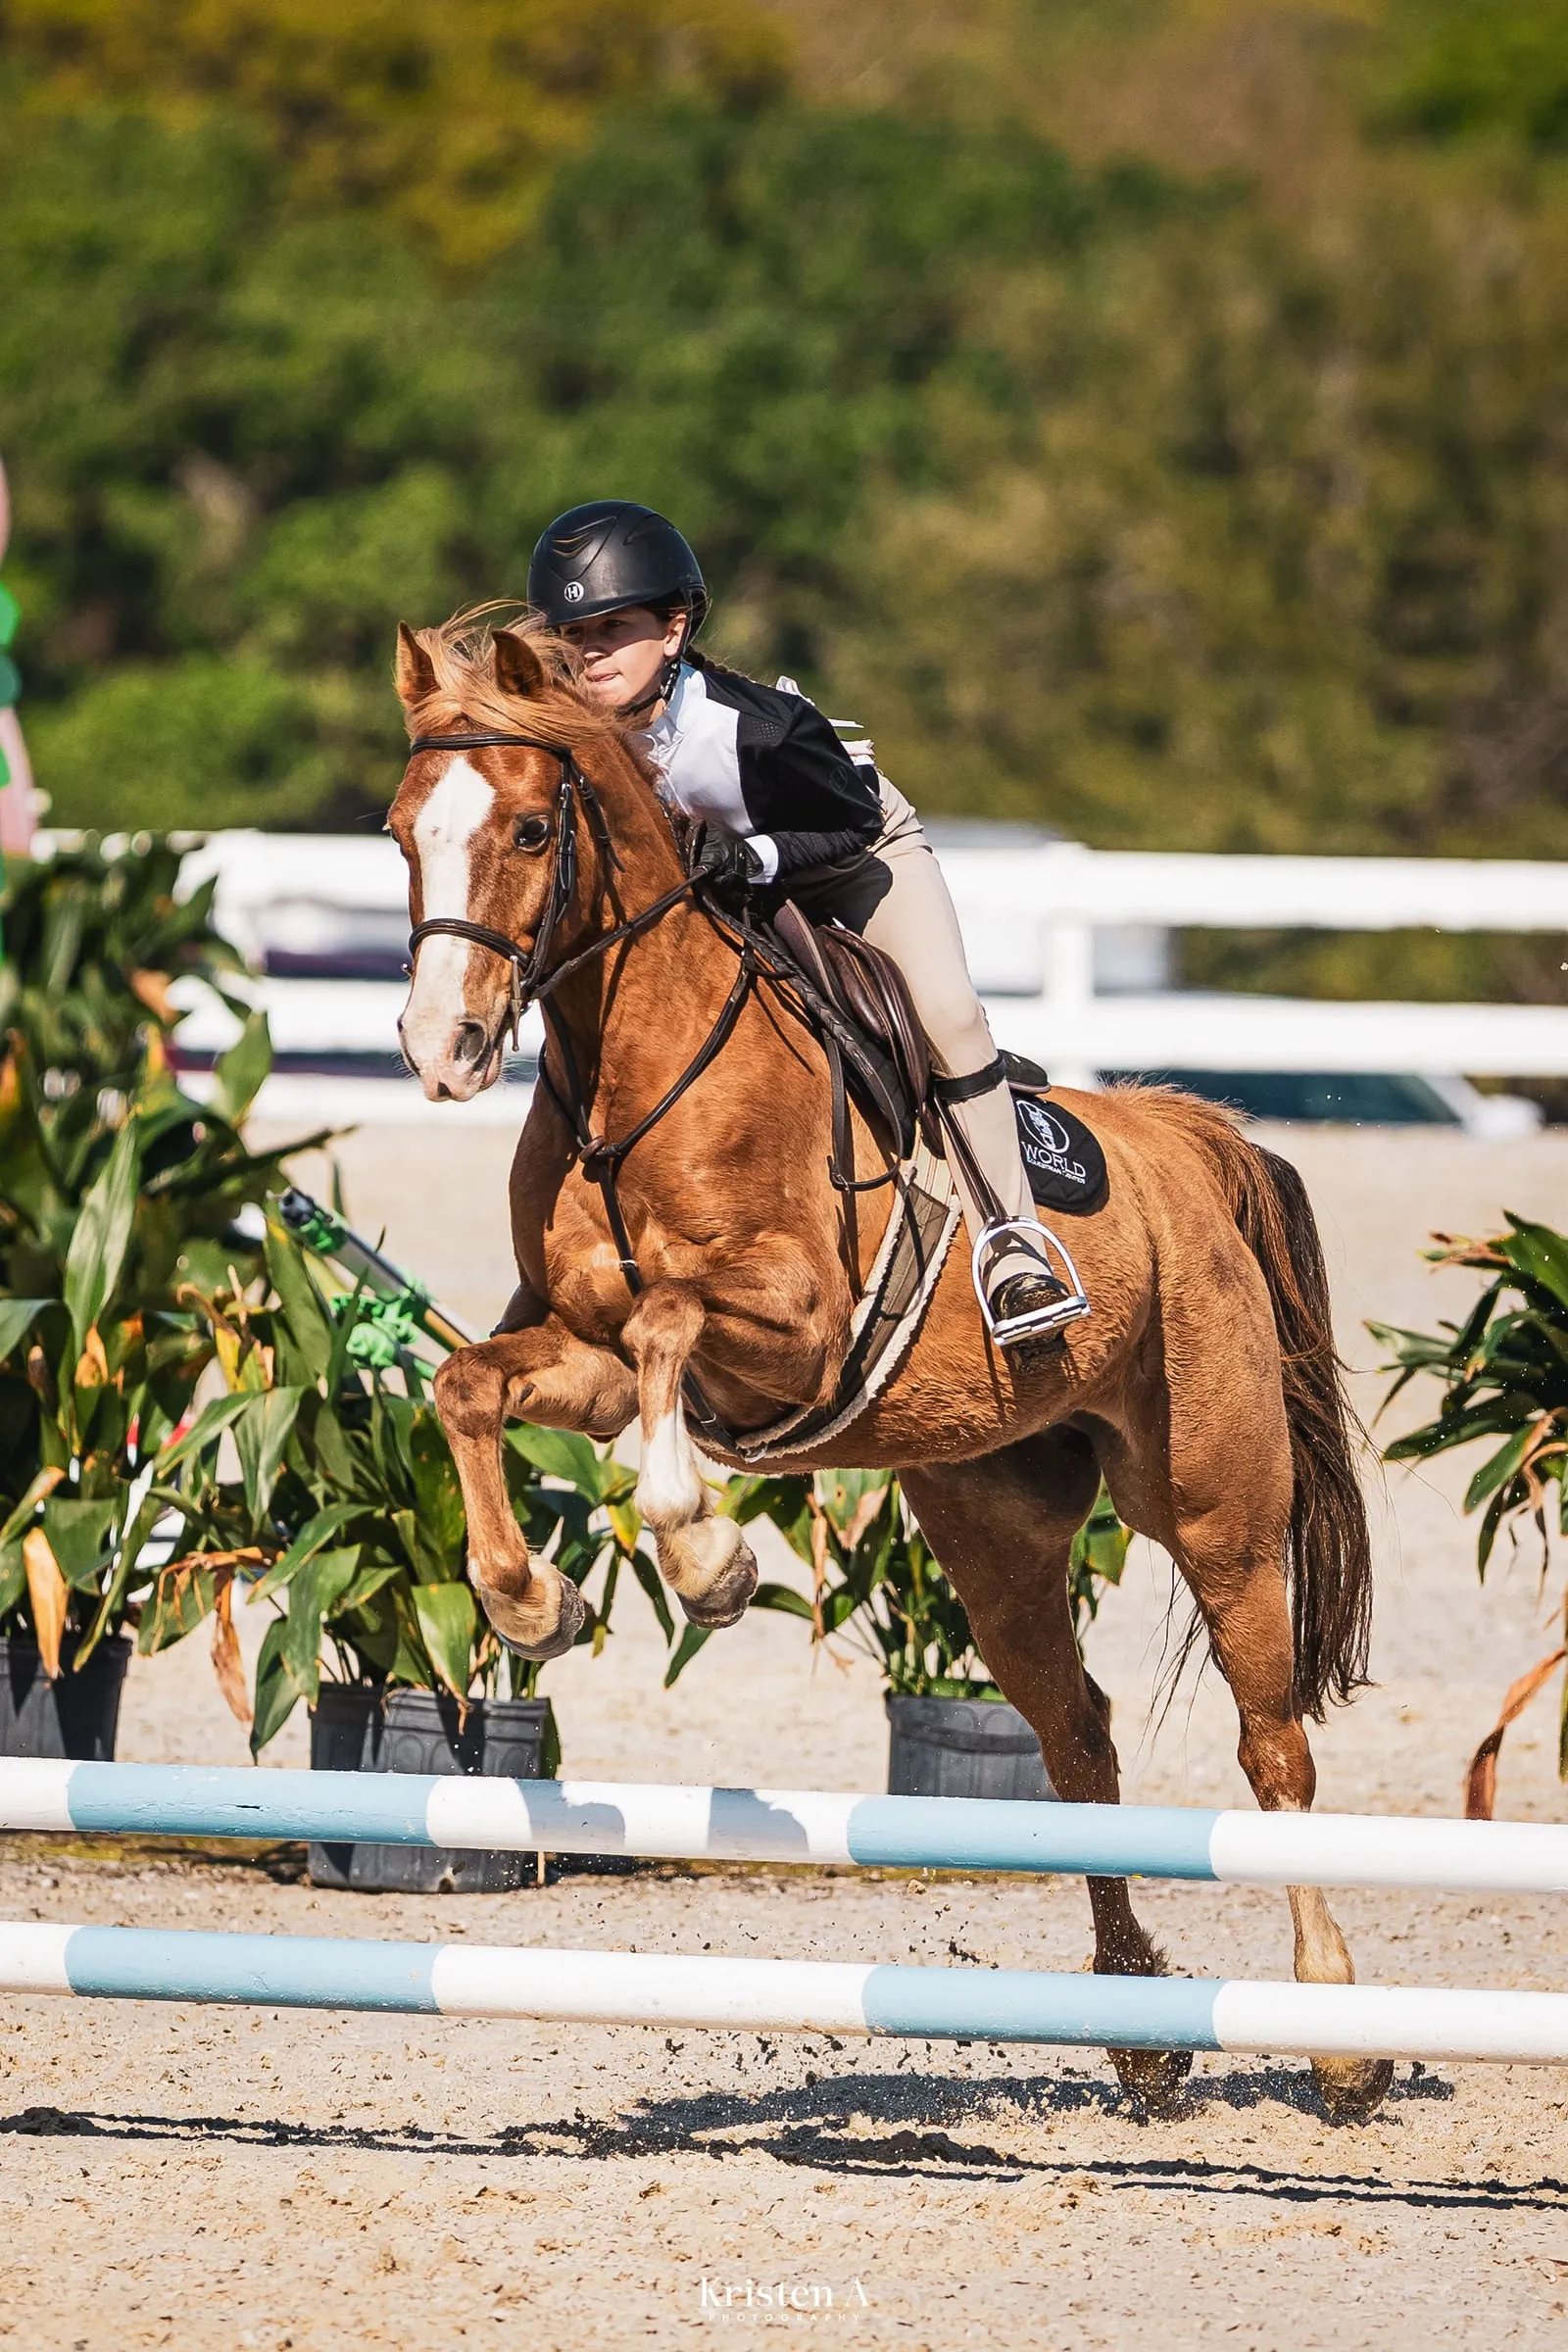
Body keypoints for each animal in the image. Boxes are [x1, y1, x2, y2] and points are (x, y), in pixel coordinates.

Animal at [388, 611, 1386, 2121]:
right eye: (399, 833)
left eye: (525, 829)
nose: (439, 1053)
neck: (633, 1063)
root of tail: (1180, 1137)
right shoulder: (587, 1355)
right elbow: (474, 1388)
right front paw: (532, 1604)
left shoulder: (792, 1326)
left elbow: (675, 1328)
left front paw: (705, 1556)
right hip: (997, 1529)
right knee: (1077, 1741)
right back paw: (1143, 2037)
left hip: (1214, 1506)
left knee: (1272, 1745)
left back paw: (1340, 2041)